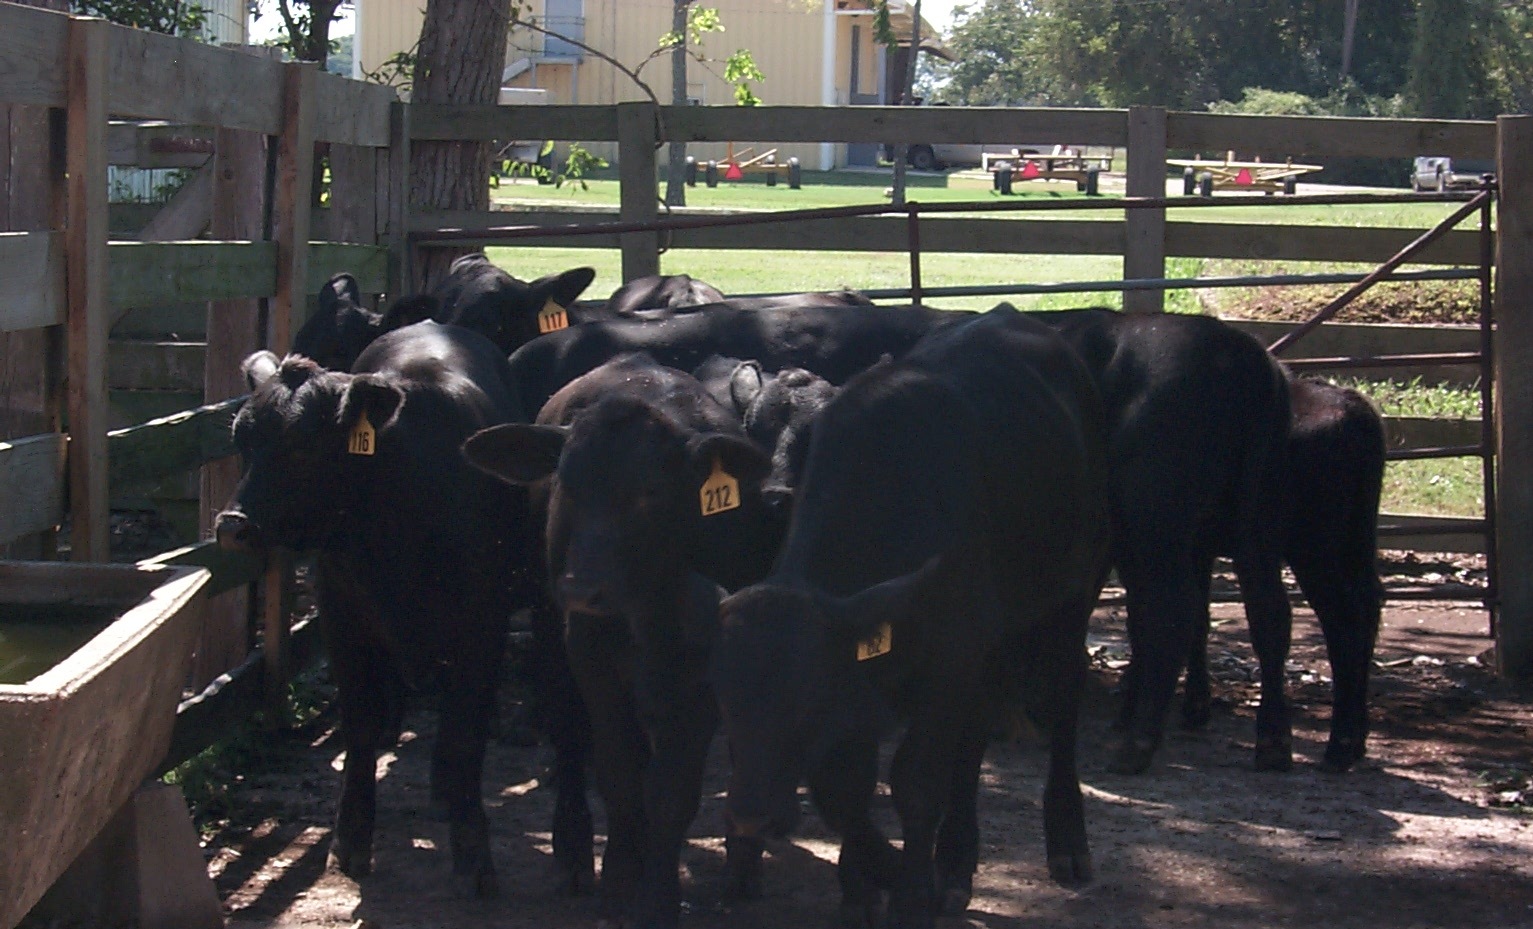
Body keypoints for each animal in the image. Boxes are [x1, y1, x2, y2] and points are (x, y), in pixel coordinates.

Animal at [213, 321, 591, 897]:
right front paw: (350, 838)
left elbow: (465, 731)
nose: (233, 525)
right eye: (242, 440)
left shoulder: (481, 625)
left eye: (303, 445)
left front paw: (473, 851)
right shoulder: (343, 619)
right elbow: (361, 727)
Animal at [462, 353, 784, 928]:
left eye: (648, 492)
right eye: (565, 483)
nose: (580, 587)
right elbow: (618, 775)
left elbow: (672, 791)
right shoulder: (591, 656)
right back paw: (574, 853)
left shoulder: (698, 679)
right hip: (554, 639)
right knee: (572, 739)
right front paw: (618, 885)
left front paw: (658, 897)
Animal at [711, 305, 1112, 929]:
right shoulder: (874, 673)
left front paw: (909, 894)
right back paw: (955, 861)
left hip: (1075, 590)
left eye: (805, 702)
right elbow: (844, 790)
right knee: (974, 739)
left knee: (1061, 700)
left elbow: (917, 784)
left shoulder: (946, 660)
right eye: (725, 703)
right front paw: (868, 883)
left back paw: (1066, 840)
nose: (750, 814)